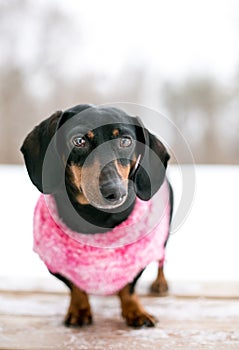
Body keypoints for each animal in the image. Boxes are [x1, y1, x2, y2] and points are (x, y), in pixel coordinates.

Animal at [20, 104, 173, 328]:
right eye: (79, 141)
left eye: (125, 141)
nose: (114, 191)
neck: (96, 217)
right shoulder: (54, 262)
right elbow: (74, 286)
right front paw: (79, 309)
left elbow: (129, 286)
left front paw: (135, 311)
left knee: (162, 258)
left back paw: (160, 283)